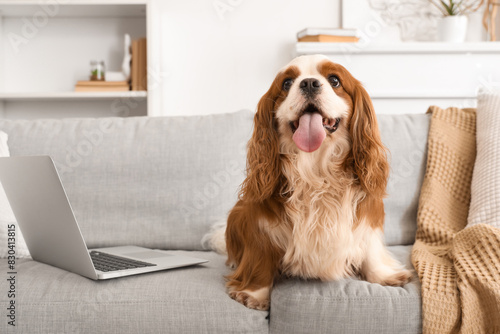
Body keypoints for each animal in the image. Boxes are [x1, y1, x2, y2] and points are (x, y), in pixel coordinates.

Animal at [209, 54, 412, 310]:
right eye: (287, 83)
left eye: (334, 80)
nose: (308, 83)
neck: (317, 168)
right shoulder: (260, 224)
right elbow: (260, 257)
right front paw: (254, 293)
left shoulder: (368, 215)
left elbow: (371, 247)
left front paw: (383, 275)